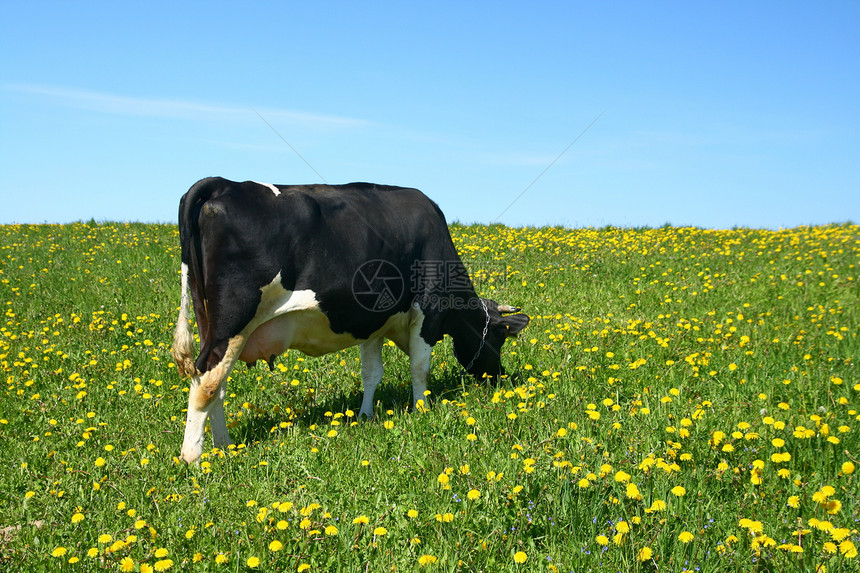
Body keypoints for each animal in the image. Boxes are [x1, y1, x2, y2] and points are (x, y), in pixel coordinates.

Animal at [171, 177, 528, 462]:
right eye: (499, 338)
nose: (498, 377)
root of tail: (223, 183)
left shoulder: (373, 322)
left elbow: (371, 373)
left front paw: (366, 414)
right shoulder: (428, 309)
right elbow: (419, 368)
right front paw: (422, 410)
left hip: (212, 325)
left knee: (213, 384)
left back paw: (224, 445)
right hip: (233, 323)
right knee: (207, 383)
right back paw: (193, 457)